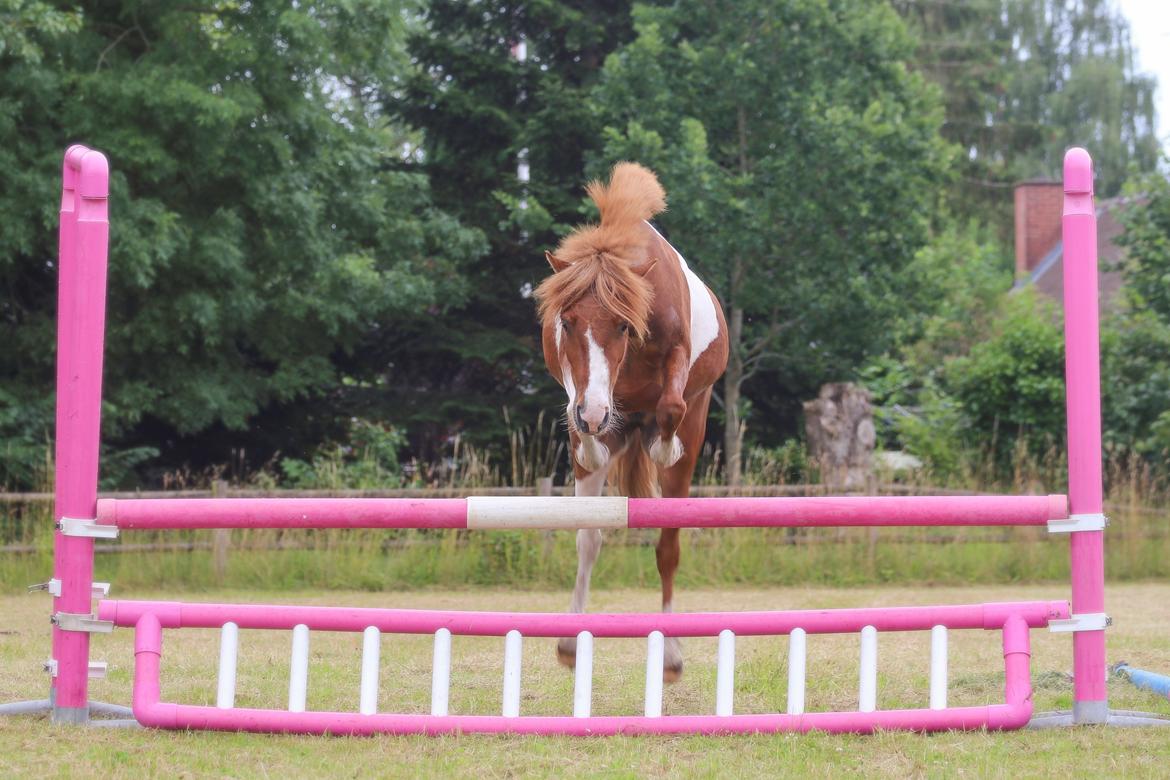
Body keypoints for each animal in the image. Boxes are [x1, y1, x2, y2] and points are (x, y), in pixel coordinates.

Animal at [535, 161, 725, 678]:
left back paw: (672, 655)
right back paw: (569, 643)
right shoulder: (578, 387)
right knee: (589, 539)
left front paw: (663, 441)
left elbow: (672, 407)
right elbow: (578, 412)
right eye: (566, 322)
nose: (595, 415)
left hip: (687, 457)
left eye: (623, 325)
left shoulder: (678, 361)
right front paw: (590, 436)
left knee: (668, 548)